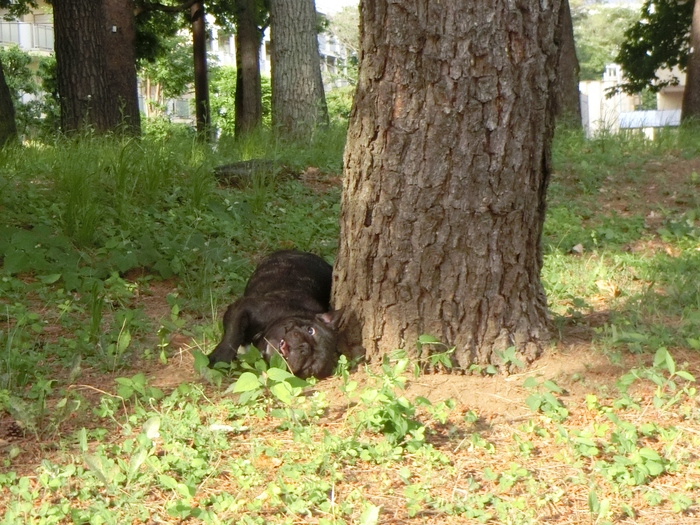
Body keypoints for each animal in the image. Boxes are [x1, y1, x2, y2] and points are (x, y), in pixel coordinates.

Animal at [206, 250, 340, 376]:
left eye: (310, 368)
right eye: (310, 330)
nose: (305, 348)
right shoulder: (244, 307)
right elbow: (233, 335)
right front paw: (219, 359)